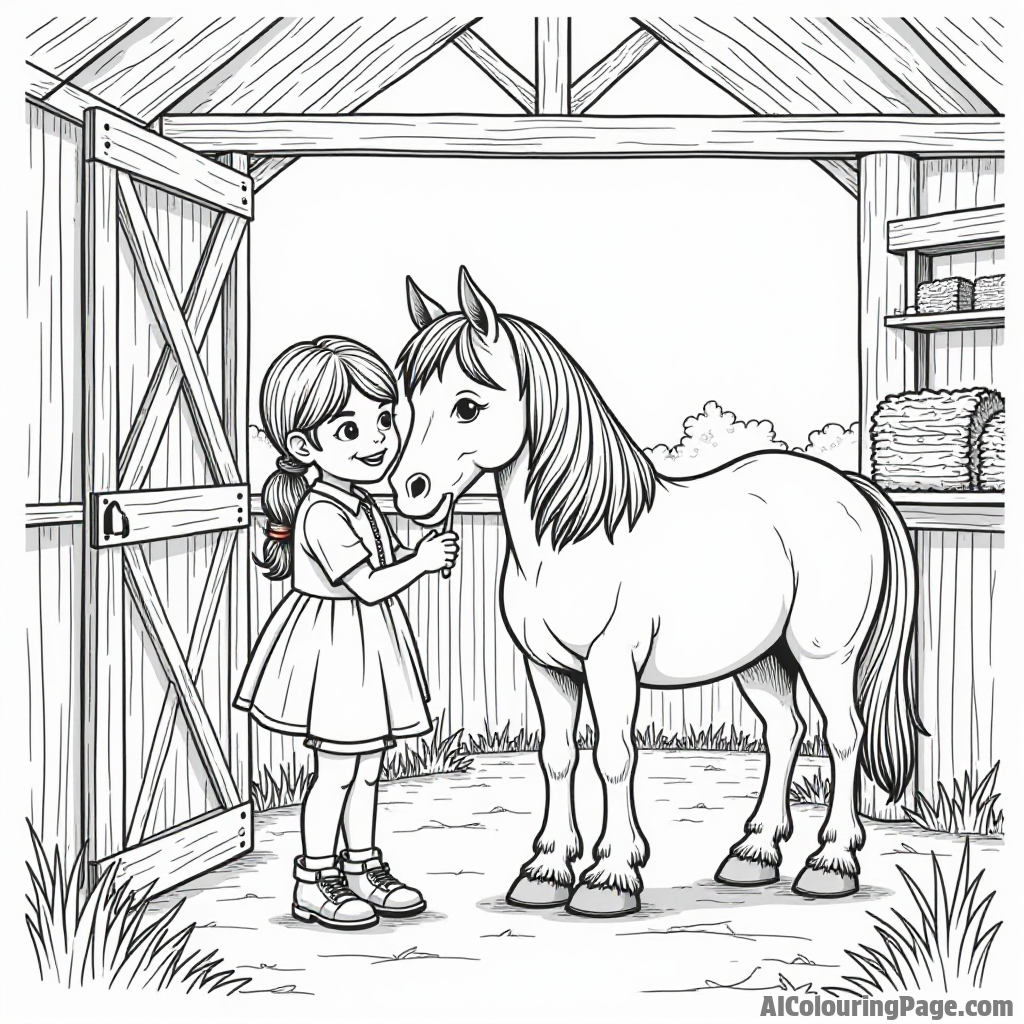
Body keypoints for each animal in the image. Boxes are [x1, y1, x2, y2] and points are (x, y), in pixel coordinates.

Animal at [391, 266, 921, 921]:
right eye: (403, 405)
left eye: (467, 406)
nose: (407, 490)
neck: (572, 533)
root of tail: (849, 487)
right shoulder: (547, 668)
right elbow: (557, 756)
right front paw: (545, 872)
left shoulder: (610, 663)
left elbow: (615, 757)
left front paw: (610, 878)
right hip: (763, 660)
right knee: (784, 733)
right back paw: (754, 855)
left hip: (826, 656)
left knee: (843, 738)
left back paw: (831, 865)